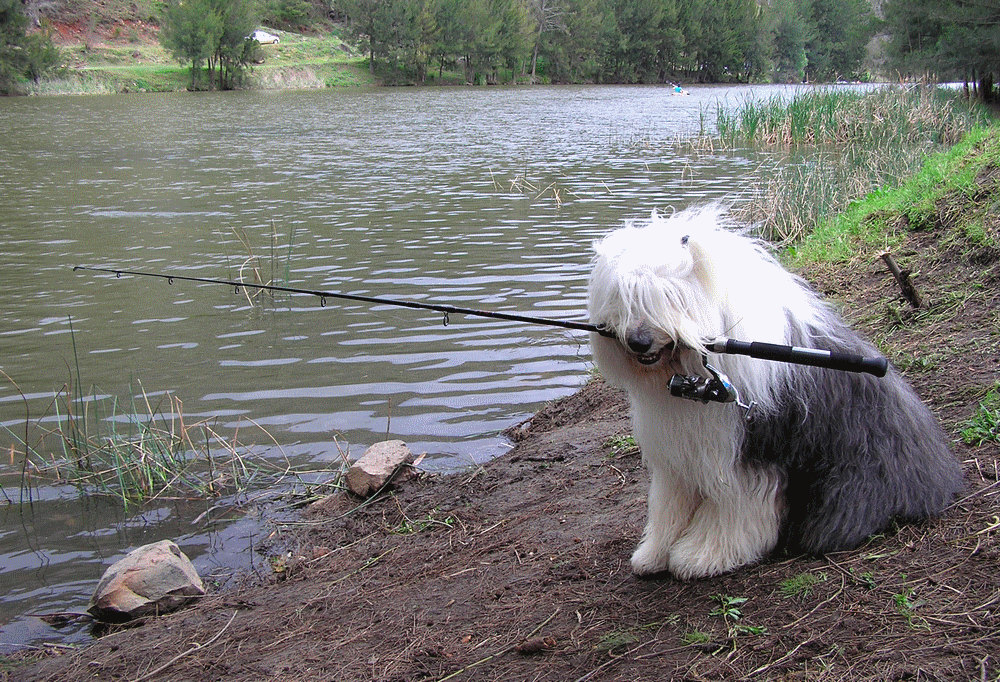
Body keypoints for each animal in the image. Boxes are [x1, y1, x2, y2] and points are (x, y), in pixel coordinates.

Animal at [588, 205, 964, 576]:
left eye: (666, 295)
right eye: (624, 296)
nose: (638, 342)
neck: (688, 367)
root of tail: (938, 474)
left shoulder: (746, 453)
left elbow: (734, 508)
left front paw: (704, 555)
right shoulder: (678, 458)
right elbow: (669, 506)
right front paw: (653, 554)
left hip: (855, 474)